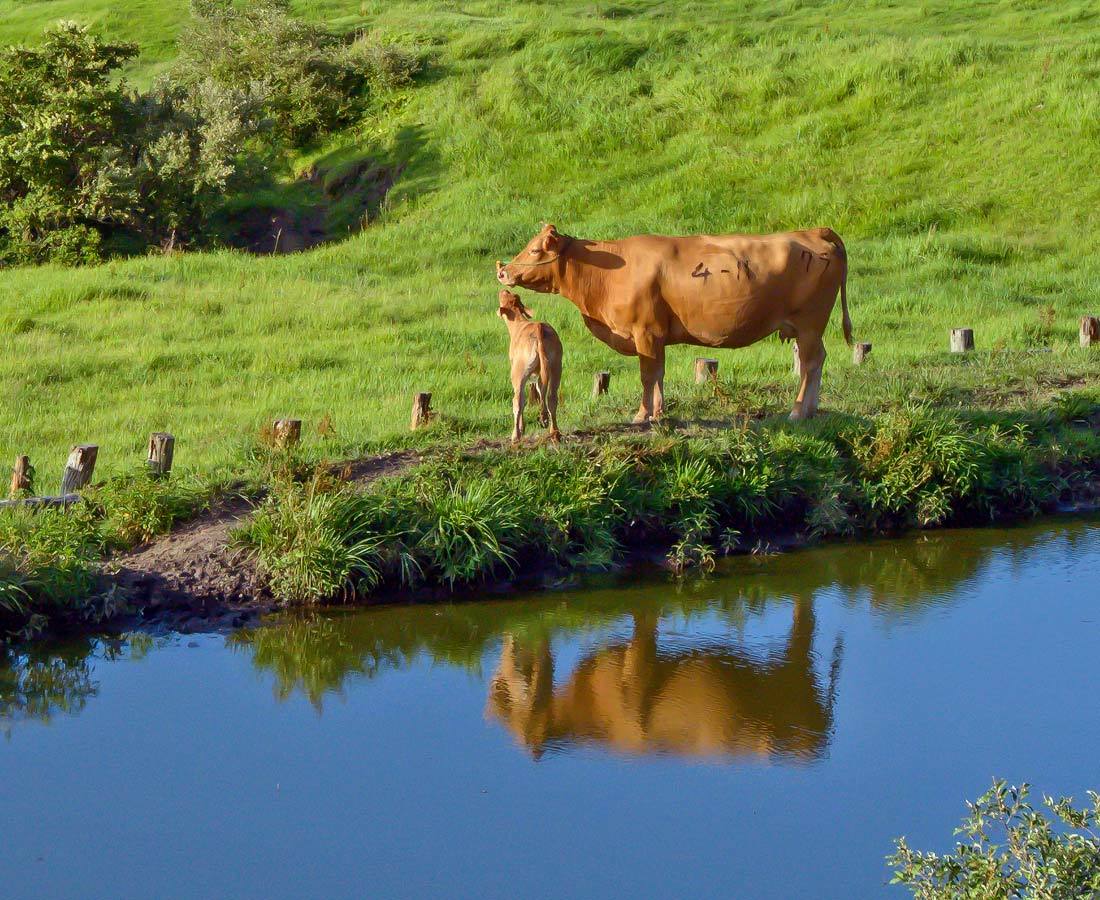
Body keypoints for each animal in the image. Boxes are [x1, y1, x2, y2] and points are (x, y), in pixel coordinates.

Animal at [499, 224, 849, 420]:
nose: (503, 272)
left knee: (810, 363)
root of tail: (812, 232)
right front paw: (659, 412)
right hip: (809, 328)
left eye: (534, 250)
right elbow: (658, 374)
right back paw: (811, 409)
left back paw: (798, 410)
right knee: (817, 361)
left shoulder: (646, 331)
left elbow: (647, 375)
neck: (607, 273)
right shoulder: (654, 336)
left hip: (809, 323)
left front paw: (643, 415)